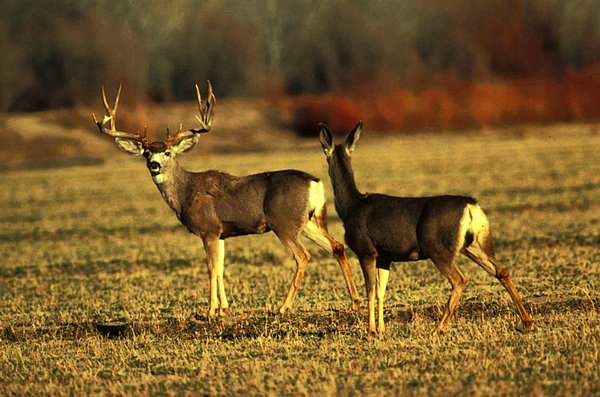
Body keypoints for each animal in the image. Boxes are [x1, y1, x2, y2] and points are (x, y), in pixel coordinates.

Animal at [91, 82, 358, 318]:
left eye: (167, 152)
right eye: (146, 153)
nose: (154, 165)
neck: (185, 192)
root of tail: (316, 183)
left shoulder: (208, 229)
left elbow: (211, 268)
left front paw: (210, 311)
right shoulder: (221, 233)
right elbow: (220, 268)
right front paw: (224, 308)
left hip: (285, 223)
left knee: (303, 256)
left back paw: (284, 307)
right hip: (308, 221)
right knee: (336, 246)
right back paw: (354, 301)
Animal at [318, 121, 536, 338]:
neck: (351, 207)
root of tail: (471, 206)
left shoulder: (366, 250)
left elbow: (370, 290)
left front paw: (371, 331)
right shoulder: (385, 256)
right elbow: (381, 291)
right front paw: (381, 330)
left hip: (438, 248)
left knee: (460, 280)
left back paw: (438, 328)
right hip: (473, 245)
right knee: (501, 270)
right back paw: (526, 322)